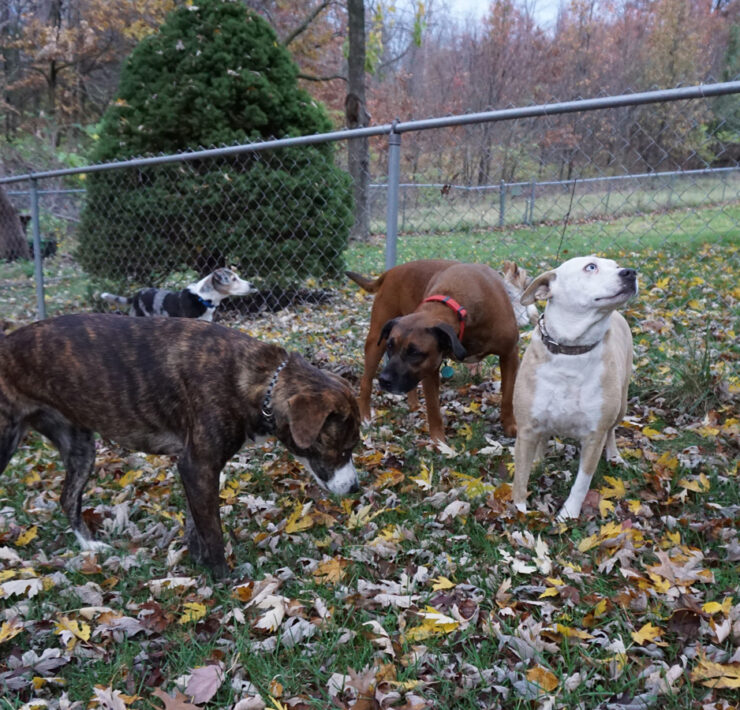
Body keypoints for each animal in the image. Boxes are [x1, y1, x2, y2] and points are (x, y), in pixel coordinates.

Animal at [0, 318, 358, 580]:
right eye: (344, 448)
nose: (355, 488)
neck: (257, 381)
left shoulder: (194, 469)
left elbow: (195, 524)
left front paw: (199, 561)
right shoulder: (199, 466)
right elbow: (212, 530)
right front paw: (224, 578)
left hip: (80, 447)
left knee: (68, 498)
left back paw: (90, 546)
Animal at [348, 258, 516, 442]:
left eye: (414, 353)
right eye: (390, 346)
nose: (384, 380)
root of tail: (392, 271)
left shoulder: (510, 354)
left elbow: (508, 395)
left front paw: (510, 426)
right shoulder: (429, 368)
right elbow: (433, 408)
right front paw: (439, 442)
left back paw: (413, 405)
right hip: (375, 342)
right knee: (366, 382)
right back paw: (365, 417)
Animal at [512, 254, 640, 516]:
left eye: (616, 265)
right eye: (591, 266)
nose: (630, 272)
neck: (571, 350)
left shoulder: (594, 437)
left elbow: (582, 482)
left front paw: (568, 513)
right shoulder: (527, 428)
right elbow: (520, 475)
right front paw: (519, 513)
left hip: (621, 404)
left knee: (612, 430)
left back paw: (614, 456)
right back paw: (538, 460)